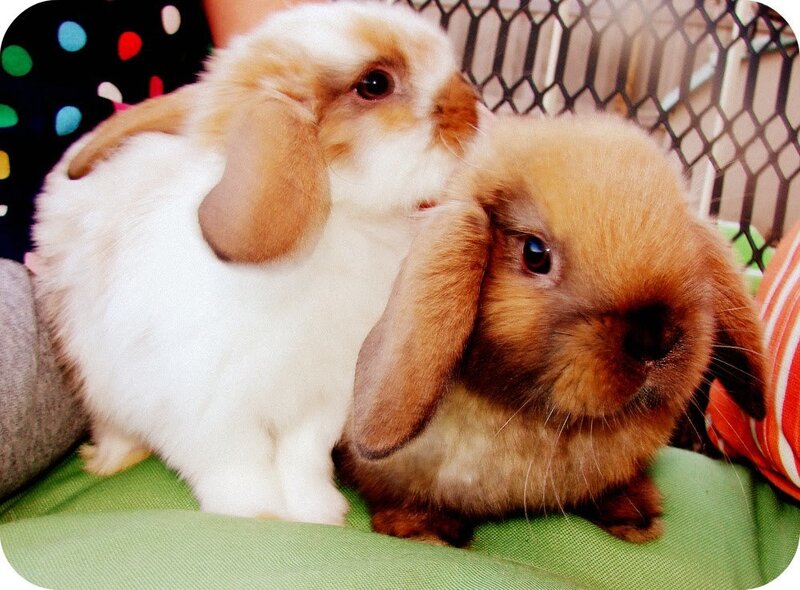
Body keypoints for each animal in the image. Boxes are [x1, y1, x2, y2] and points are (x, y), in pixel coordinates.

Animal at [32, 0, 479, 526]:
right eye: (375, 83)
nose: (473, 111)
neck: (339, 220)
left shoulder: (319, 404)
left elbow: (301, 461)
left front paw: (317, 512)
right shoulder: (212, 410)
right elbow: (236, 464)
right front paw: (256, 514)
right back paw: (112, 459)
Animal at [335, 113, 768, 546]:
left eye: (686, 244)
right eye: (535, 254)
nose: (655, 338)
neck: (541, 421)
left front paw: (637, 516)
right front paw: (425, 531)